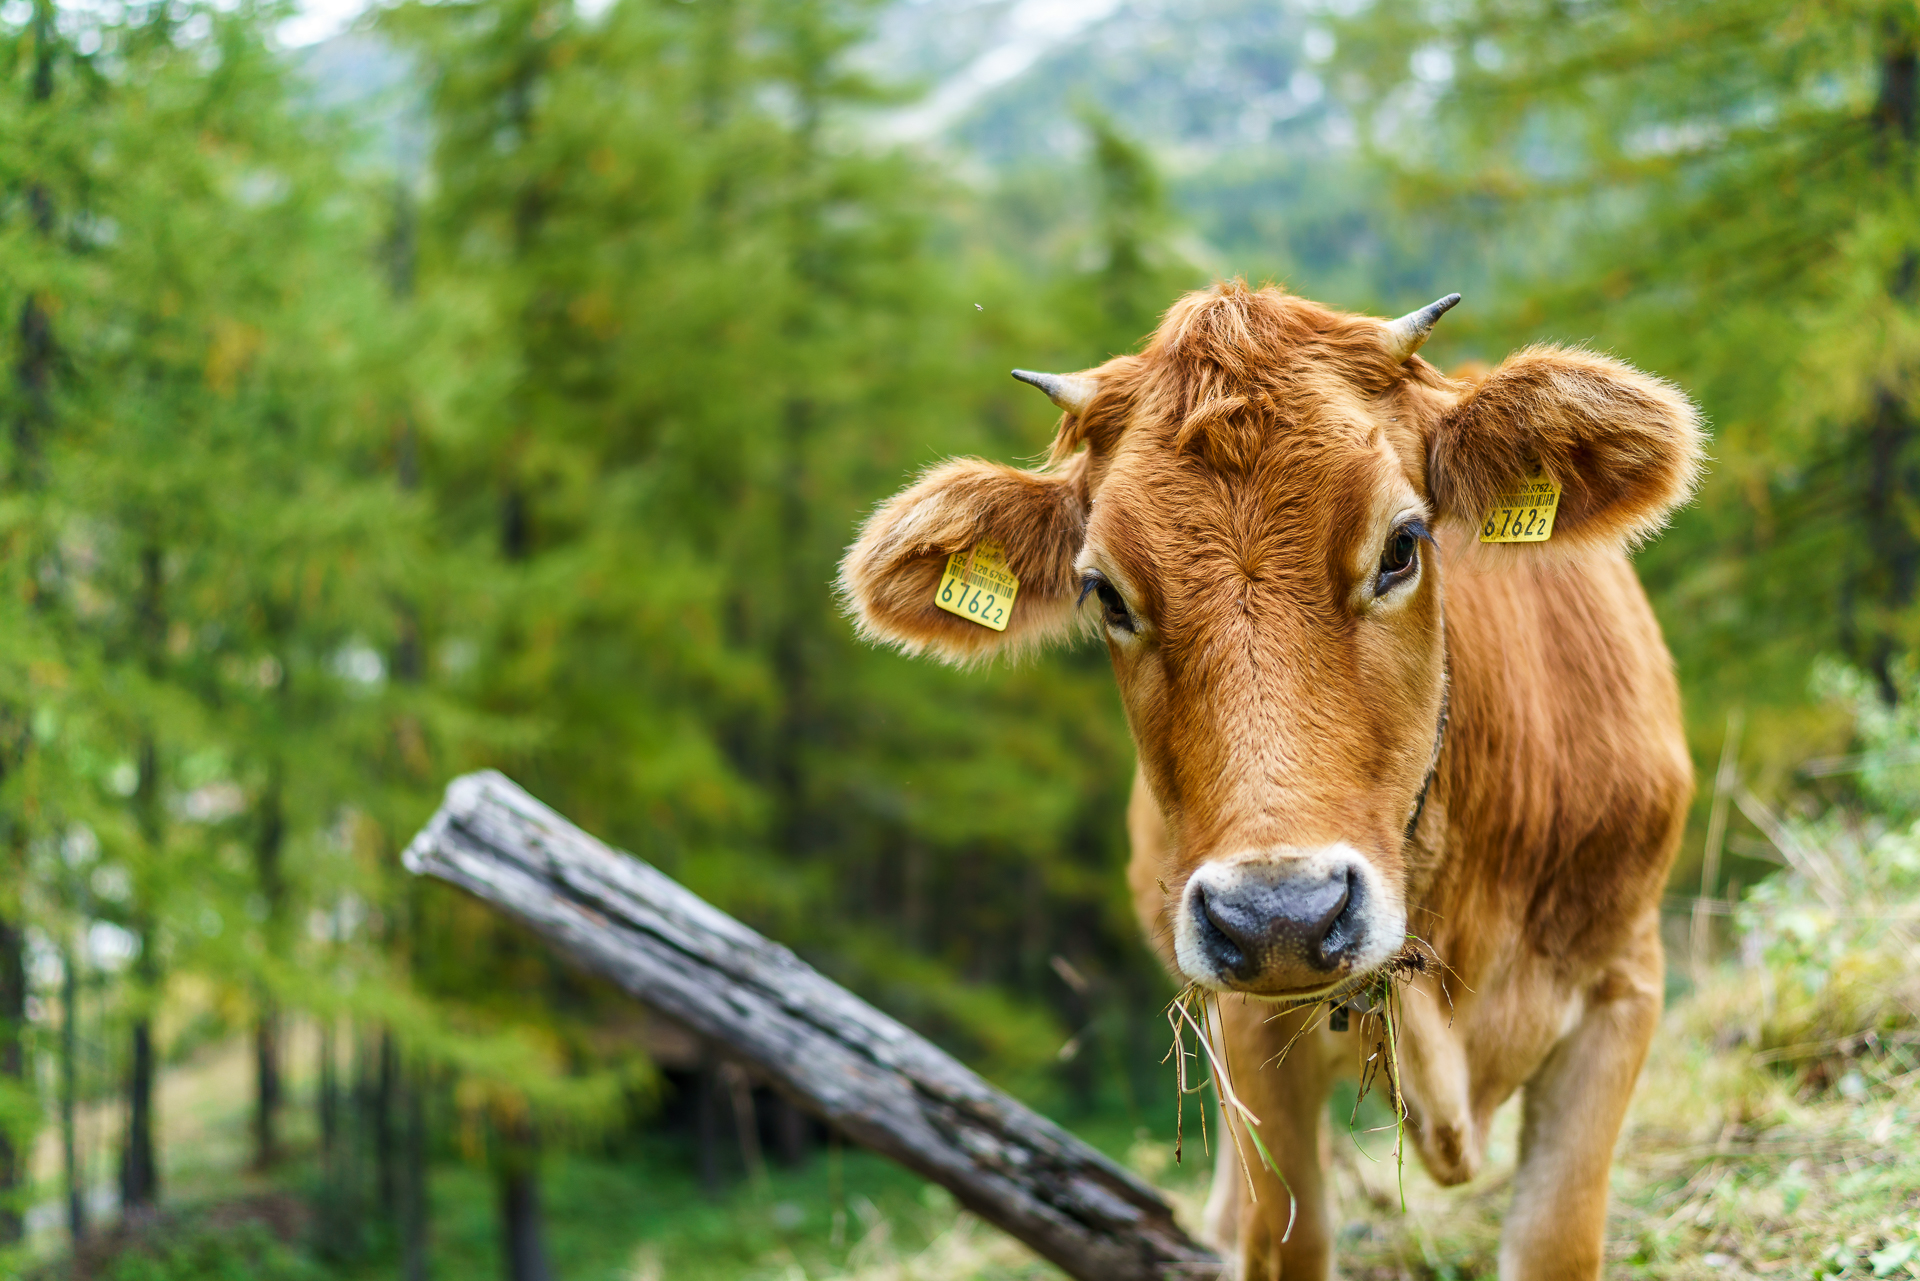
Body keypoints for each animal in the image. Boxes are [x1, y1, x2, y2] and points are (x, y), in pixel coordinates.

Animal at [838, 279, 1702, 1280]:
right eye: (1106, 593)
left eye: (1402, 544)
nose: (1281, 915)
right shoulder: (1256, 1030)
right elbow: (1285, 1237)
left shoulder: (1623, 979)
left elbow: (1555, 1239)